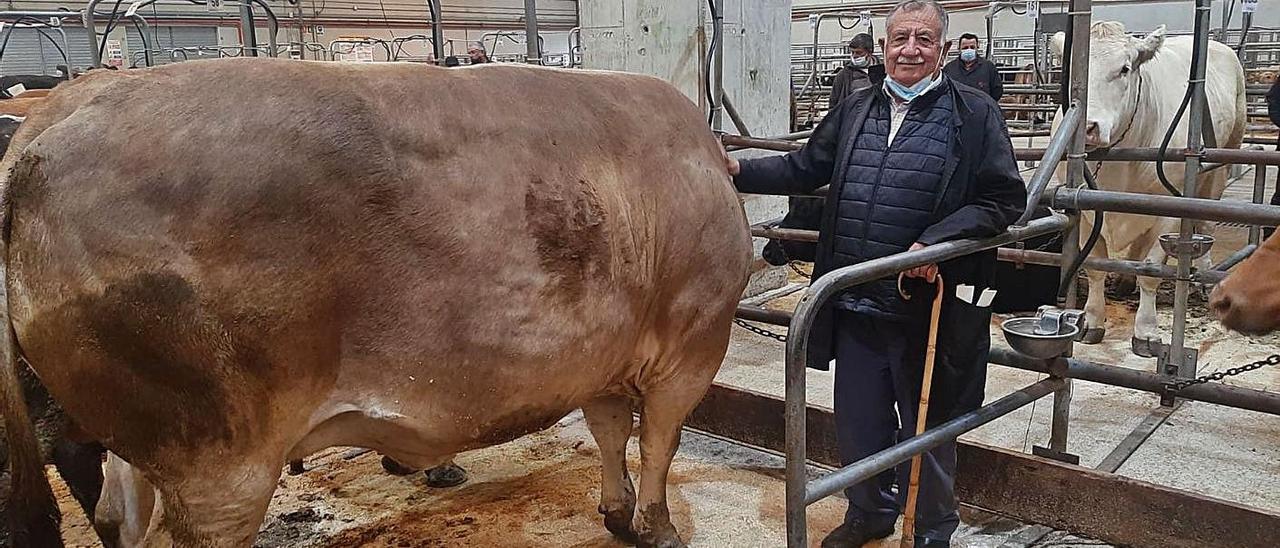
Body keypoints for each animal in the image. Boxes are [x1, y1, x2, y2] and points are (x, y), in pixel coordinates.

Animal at [1054, 21, 1244, 353]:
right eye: (1073, 72)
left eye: (1125, 68)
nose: (1088, 128)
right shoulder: (1087, 210)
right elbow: (1095, 265)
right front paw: (1091, 320)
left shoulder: (1167, 208)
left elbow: (1151, 270)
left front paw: (1145, 331)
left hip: (1221, 163)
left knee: (1205, 221)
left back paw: (1202, 281)